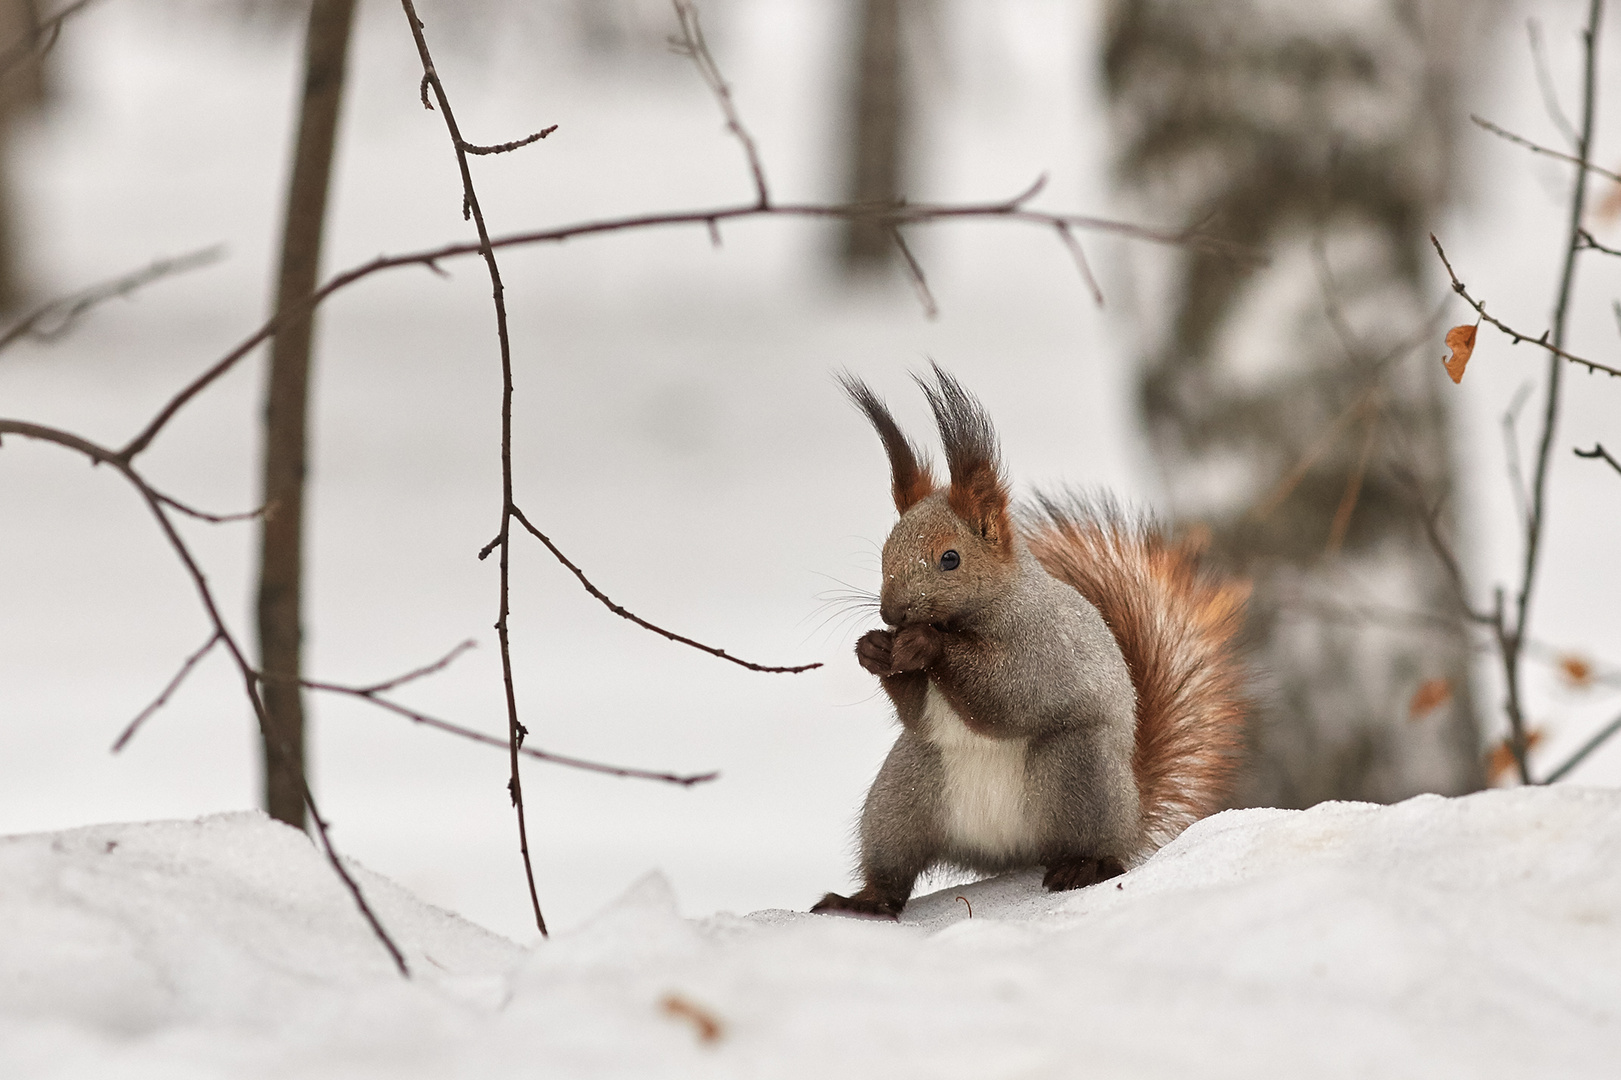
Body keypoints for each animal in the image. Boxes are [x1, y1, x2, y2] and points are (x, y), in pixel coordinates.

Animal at [816, 366, 1244, 914]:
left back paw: (1085, 866)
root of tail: (1005, 853)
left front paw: (923, 646)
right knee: (894, 867)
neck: (967, 620)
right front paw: (873, 649)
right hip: (901, 796)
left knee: (1096, 846)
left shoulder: (1044, 648)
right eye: (886, 552)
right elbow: (917, 713)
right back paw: (865, 901)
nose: (892, 613)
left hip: (1076, 773)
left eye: (950, 558)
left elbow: (1010, 695)